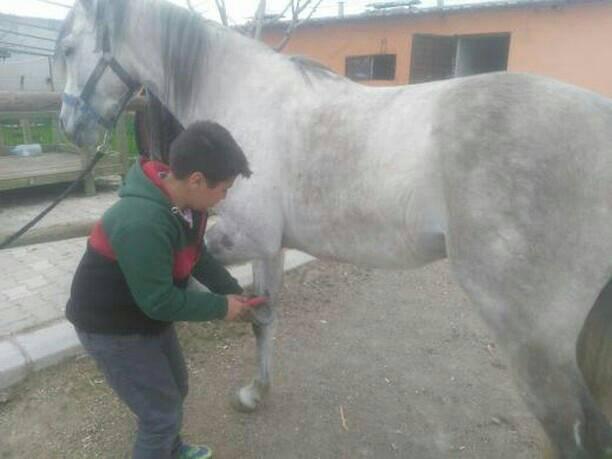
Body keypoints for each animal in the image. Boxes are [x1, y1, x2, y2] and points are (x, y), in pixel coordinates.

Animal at [56, 1, 612, 458]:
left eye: (67, 48)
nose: (69, 126)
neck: (247, 97)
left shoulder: (250, 236)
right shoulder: (271, 247)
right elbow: (264, 318)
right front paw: (257, 393)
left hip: (530, 338)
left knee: (569, 430)